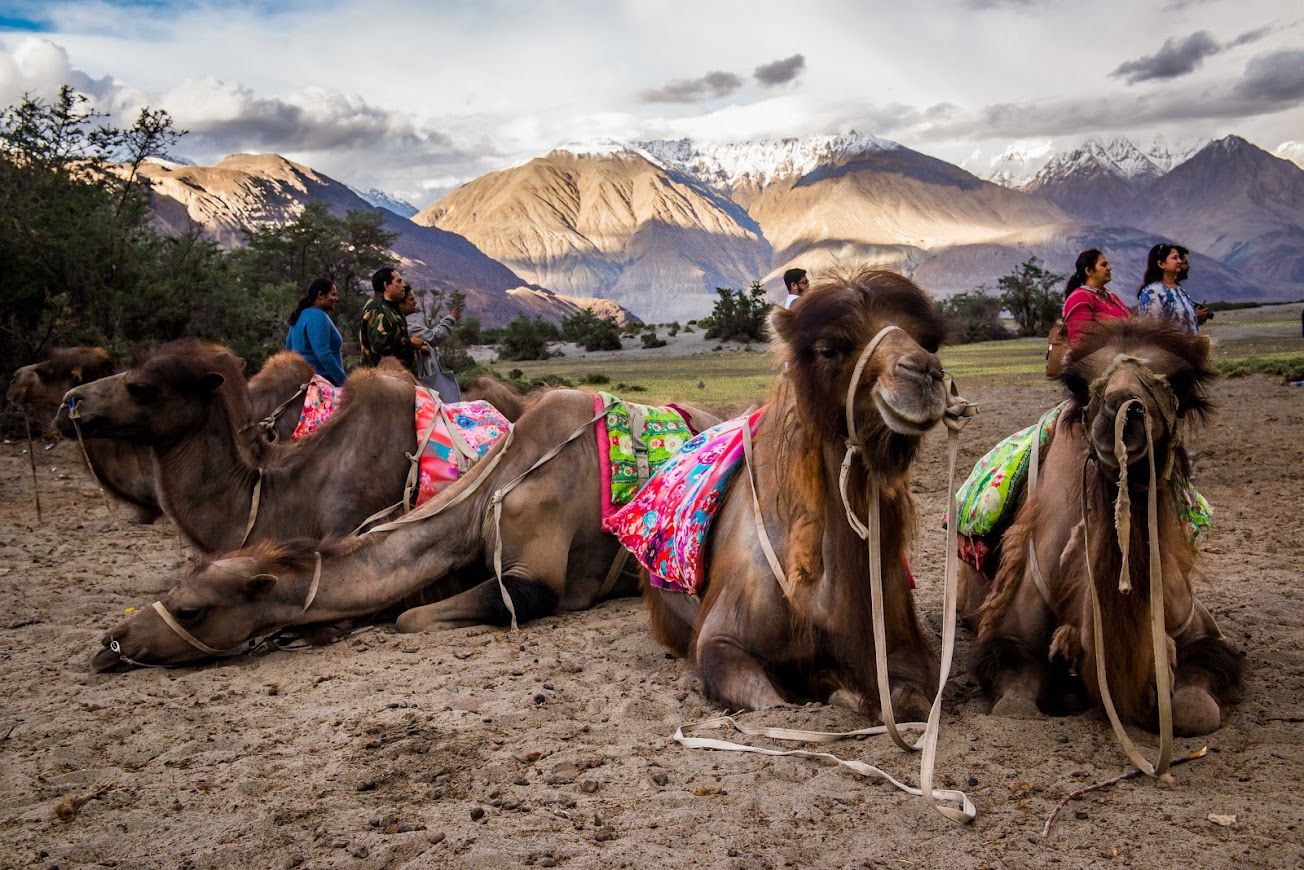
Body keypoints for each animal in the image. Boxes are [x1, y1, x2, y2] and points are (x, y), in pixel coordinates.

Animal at [89, 388, 725, 673]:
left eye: (192, 609)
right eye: (175, 590)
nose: (110, 644)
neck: (485, 497)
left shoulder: (536, 571)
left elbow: (409, 618)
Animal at [970, 316, 1241, 740]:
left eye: (1180, 381)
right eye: (1076, 383)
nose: (1123, 415)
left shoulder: (1201, 629)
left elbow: (1195, 710)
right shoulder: (1009, 633)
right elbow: (1015, 705)